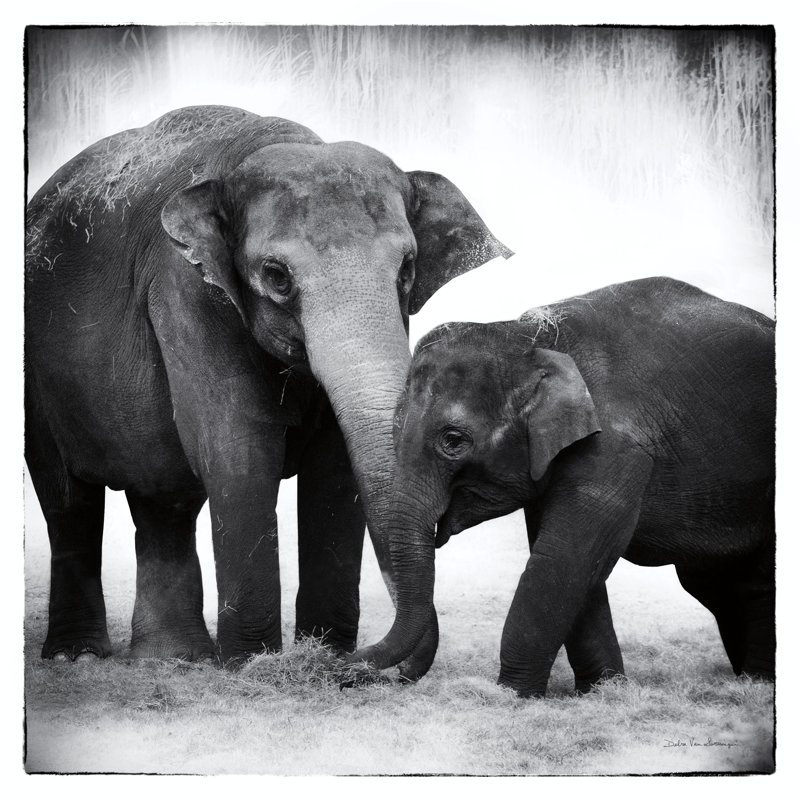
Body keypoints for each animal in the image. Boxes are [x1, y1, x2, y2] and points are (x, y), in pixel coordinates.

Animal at [25, 105, 511, 669]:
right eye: (276, 275)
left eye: (407, 270)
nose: (360, 661)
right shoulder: (187, 289)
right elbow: (240, 449)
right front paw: (253, 664)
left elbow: (336, 466)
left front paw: (322, 655)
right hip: (36, 379)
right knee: (68, 500)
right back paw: (77, 657)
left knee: (163, 500)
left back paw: (174, 659)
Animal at [353, 277, 775, 697]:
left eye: (453, 441)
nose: (349, 667)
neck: (531, 337)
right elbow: (573, 564)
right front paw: (601, 691)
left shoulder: (614, 448)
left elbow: (562, 557)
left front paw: (511, 695)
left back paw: (757, 682)